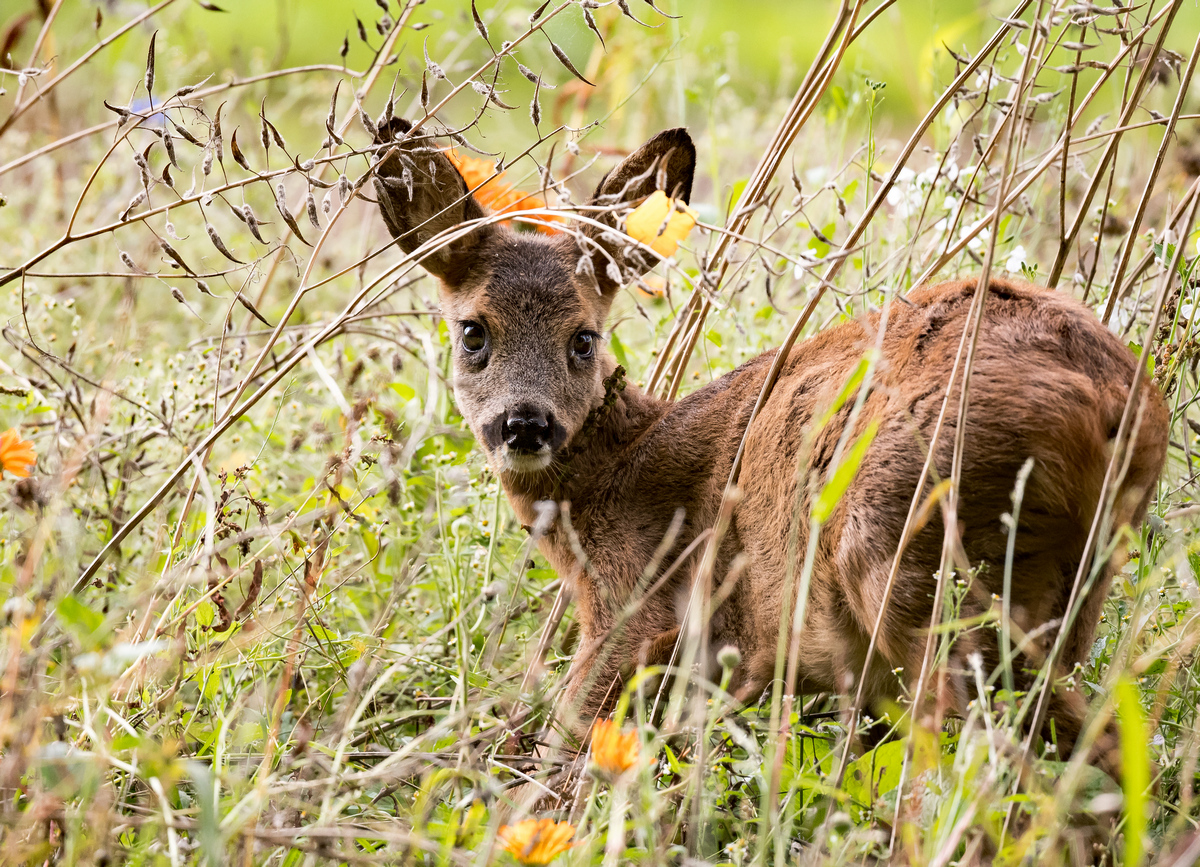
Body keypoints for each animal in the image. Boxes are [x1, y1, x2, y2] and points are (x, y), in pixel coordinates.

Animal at [370, 118, 1169, 780]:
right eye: (474, 331)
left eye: (583, 337)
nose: (526, 424)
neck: (616, 475)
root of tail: (1112, 400)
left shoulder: (640, 606)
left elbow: (567, 739)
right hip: (1064, 591)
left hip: (911, 545)